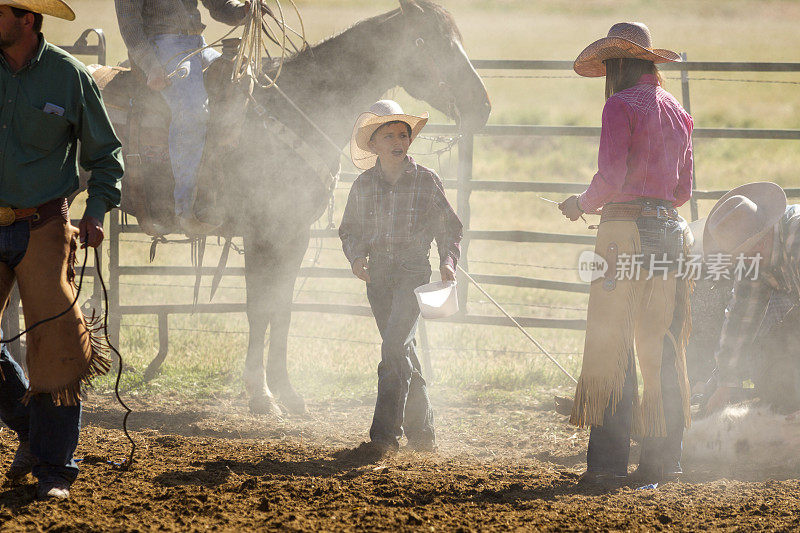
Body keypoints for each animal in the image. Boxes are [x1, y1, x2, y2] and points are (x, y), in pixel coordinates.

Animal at [113, 0, 490, 416]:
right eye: (429, 41)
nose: (483, 106)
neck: (293, 107)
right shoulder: (263, 234)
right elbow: (259, 308)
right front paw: (260, 394)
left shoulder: (295, 234)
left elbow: (283, 309)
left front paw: (287, 392)